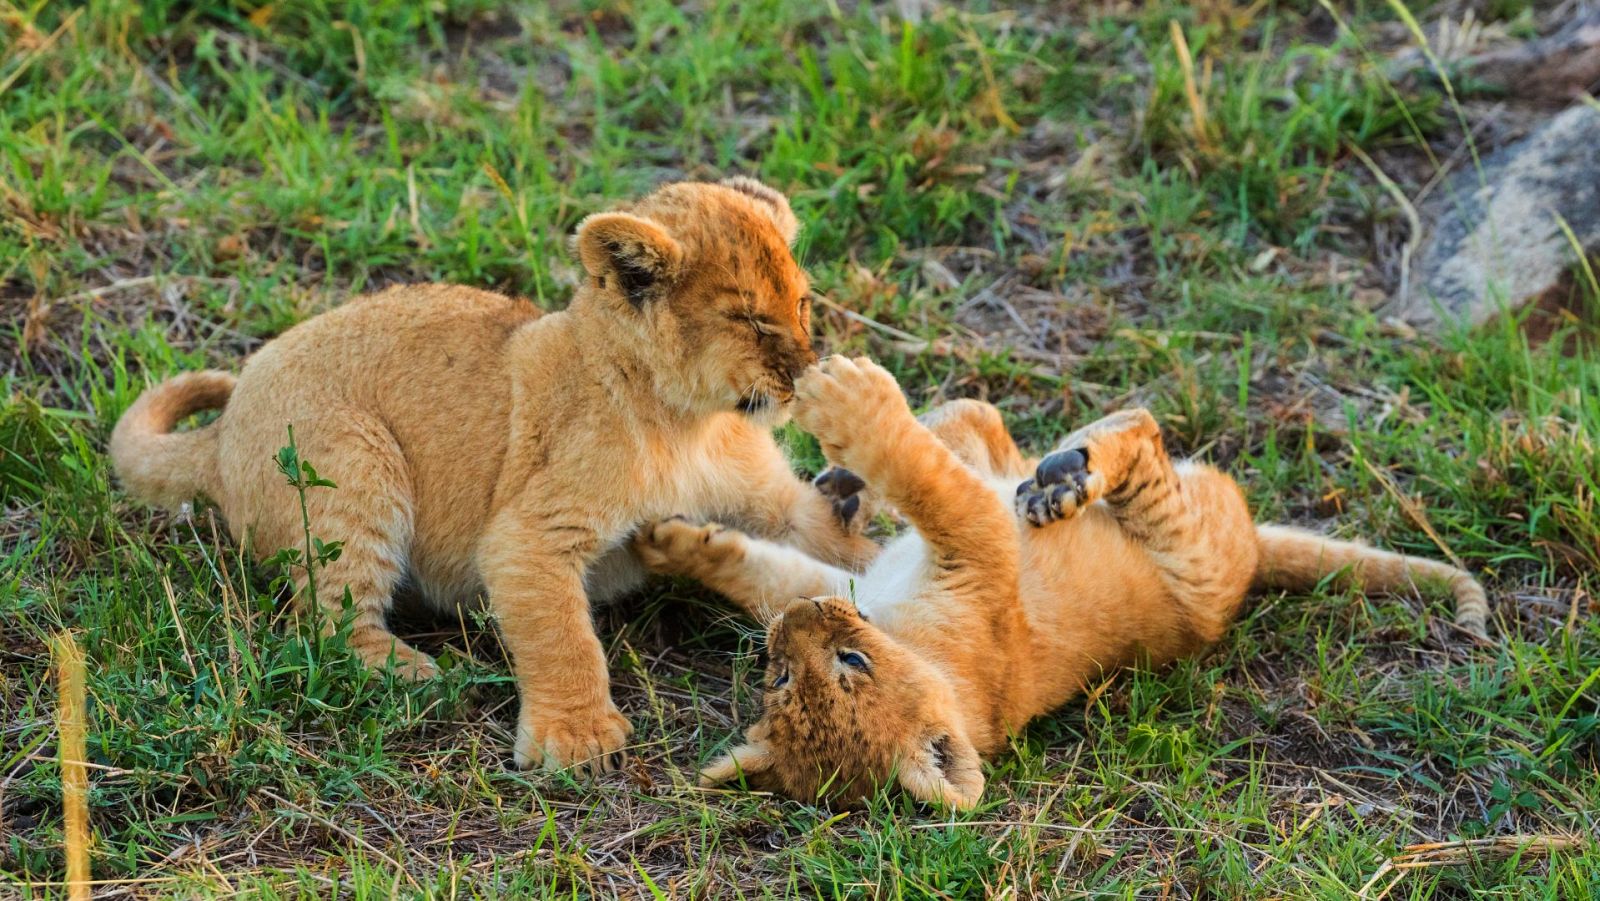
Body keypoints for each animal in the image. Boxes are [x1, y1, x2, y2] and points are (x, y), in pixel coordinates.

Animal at [108, 179, 877, 774]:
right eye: (748, 319)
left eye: (801, 304)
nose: (806, 375)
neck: (693, 423)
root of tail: (222, 430)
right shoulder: (528, 533)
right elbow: (562, 635)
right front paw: (577, 738)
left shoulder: (769, 502)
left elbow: (824, 541)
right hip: (352, 462)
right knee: (326, 620)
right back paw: (411, 671)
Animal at [634, 356, 1490, 808]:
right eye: (782, 675)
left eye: (850, 663)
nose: (800, 624)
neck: (912, 641)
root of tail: (1251, 551)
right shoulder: (918, 564)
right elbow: (784, 568)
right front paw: (671, 540)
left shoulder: (961, 546)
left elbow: (917, 482)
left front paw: (669, 537)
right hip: (1192, 555)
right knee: (1107, 437)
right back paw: (1055, 477)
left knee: (1040, 427)